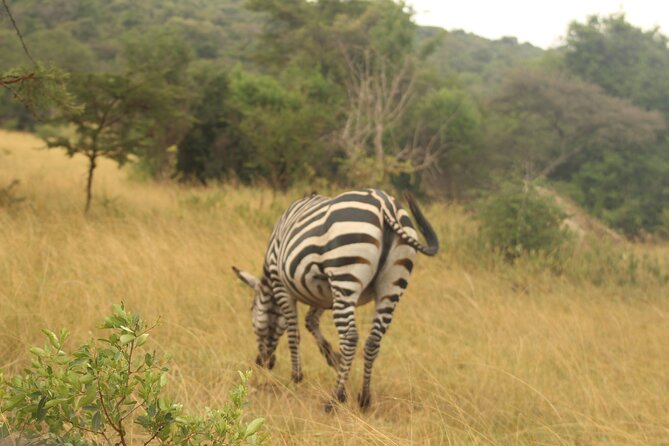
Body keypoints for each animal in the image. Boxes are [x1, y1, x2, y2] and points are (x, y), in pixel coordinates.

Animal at [231, 188, 438, 412]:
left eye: (252, 311)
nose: (262, 363)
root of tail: (385, 204)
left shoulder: (282, 285)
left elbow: (293, 332)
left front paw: (296, 376)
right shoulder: (325, 293)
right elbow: (311, 322)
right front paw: (334, 359)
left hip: (345, 275)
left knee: (350, 337)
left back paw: (334, 399)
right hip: (390, 286)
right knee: (373, 341)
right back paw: (364, 398)